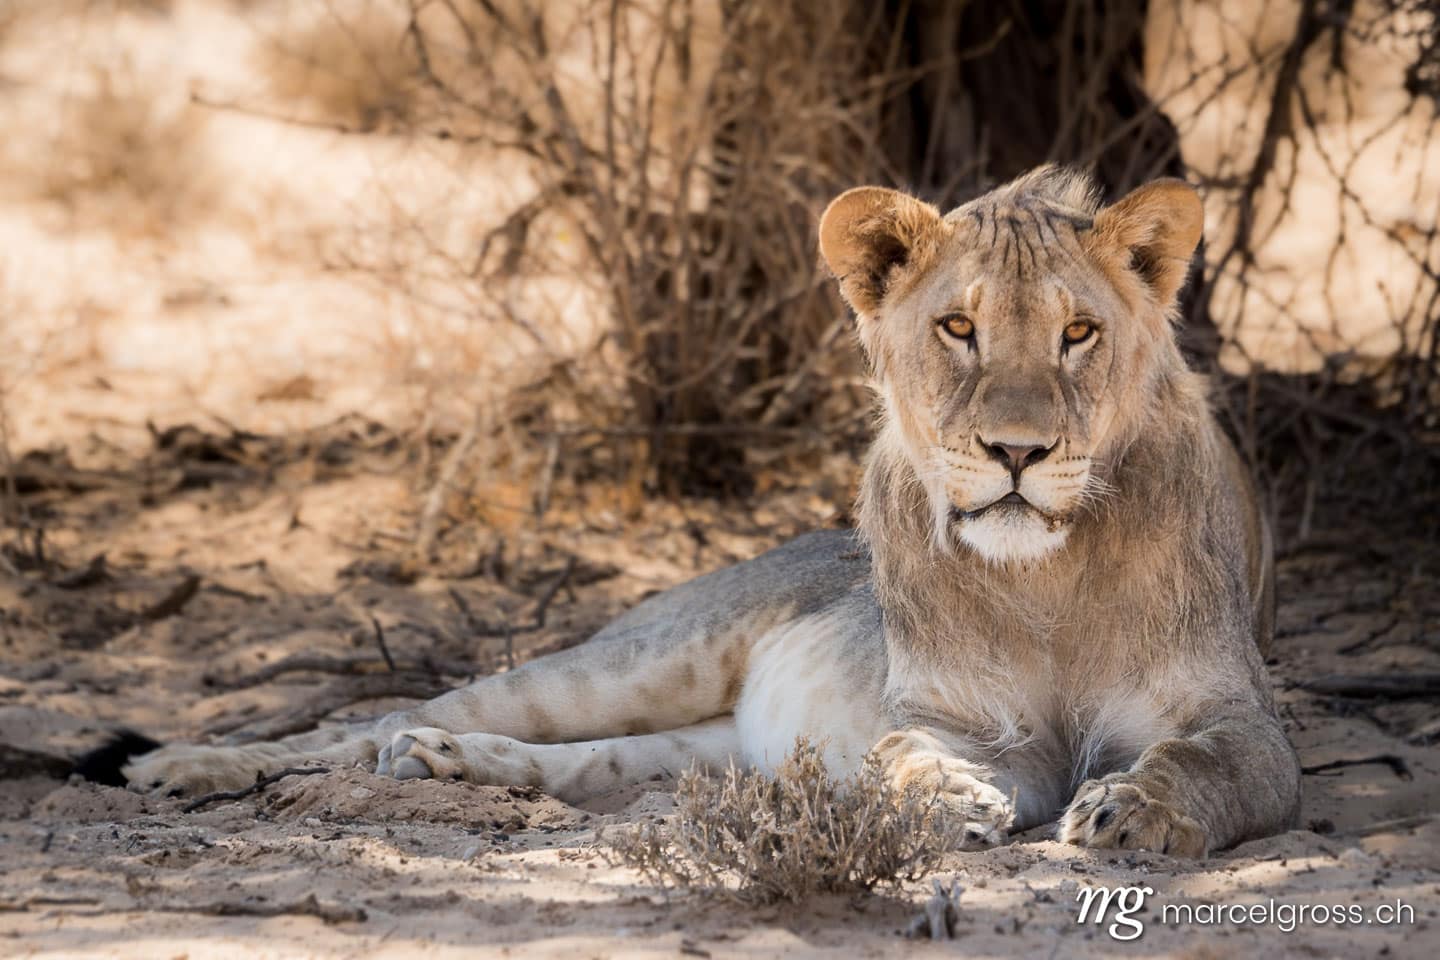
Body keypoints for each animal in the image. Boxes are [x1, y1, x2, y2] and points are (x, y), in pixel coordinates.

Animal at [114, 167, 1301, 857]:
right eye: (959, 328)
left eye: (1078, 333)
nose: (1017, 452)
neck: (1047, 579)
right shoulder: (962, 723)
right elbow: (911, 755)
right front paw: (942, 801)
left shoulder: (1241, 717)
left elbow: (1209, 764)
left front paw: (1133, 810)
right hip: (637, 659)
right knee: (370, 722)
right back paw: (187, 767)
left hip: (710, 746)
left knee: (588, 766)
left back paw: (451, 766)